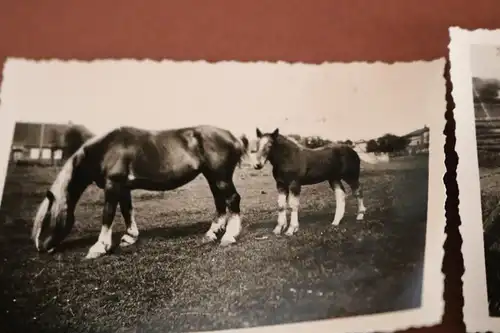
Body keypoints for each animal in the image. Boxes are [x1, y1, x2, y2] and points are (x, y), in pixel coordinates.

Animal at [30, 126, 248, 258]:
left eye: (46, 219)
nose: (40, 247)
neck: (107, 149)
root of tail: (234, 137)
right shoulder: (123, 188)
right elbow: (127, 211)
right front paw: (130, 237)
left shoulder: (113, 185)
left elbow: (108, 214)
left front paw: (99, 247)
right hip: (212, 177)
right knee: (220, 202)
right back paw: (212, 234)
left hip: (220, 177)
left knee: (232, 199)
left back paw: (229, 236)